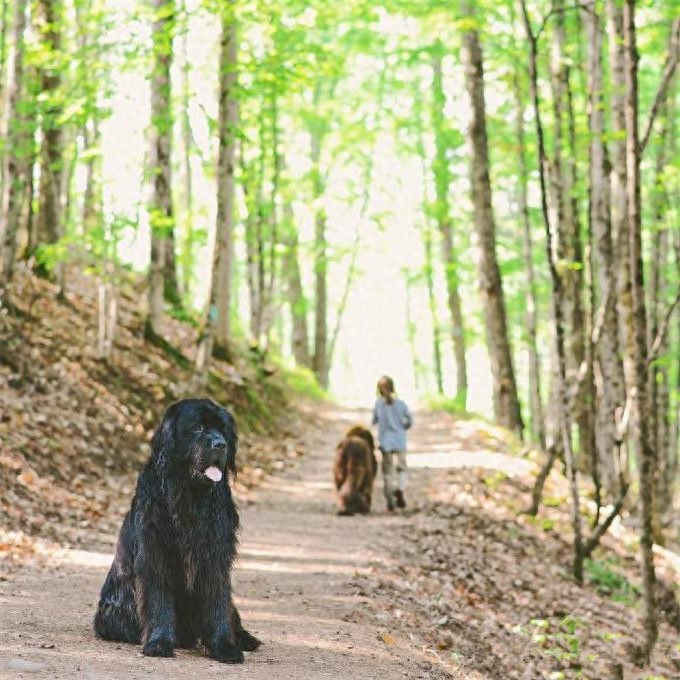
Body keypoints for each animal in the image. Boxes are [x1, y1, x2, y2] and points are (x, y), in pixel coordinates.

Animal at [91, 398, 258, 664]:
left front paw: (224, 646)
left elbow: (218, 604)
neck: (190, 498)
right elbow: (159, 602)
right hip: (113, 613)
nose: (220, 444)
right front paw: (159, 642)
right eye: (198, 428)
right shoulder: (156, 554)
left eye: (223, 430)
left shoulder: (215, 558)